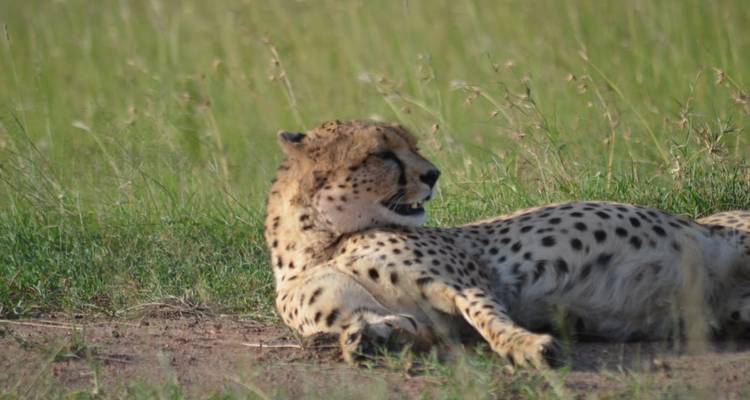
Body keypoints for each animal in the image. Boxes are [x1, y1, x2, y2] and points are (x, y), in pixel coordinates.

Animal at [264, 119, 750, 368]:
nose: (433, 174)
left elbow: (489, 317)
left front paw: (525, 346)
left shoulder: (466, 282)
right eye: (381, 153)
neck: (320, 243)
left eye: (413, 146)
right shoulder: (403, 317)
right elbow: (384, 326)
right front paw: (365, 340)